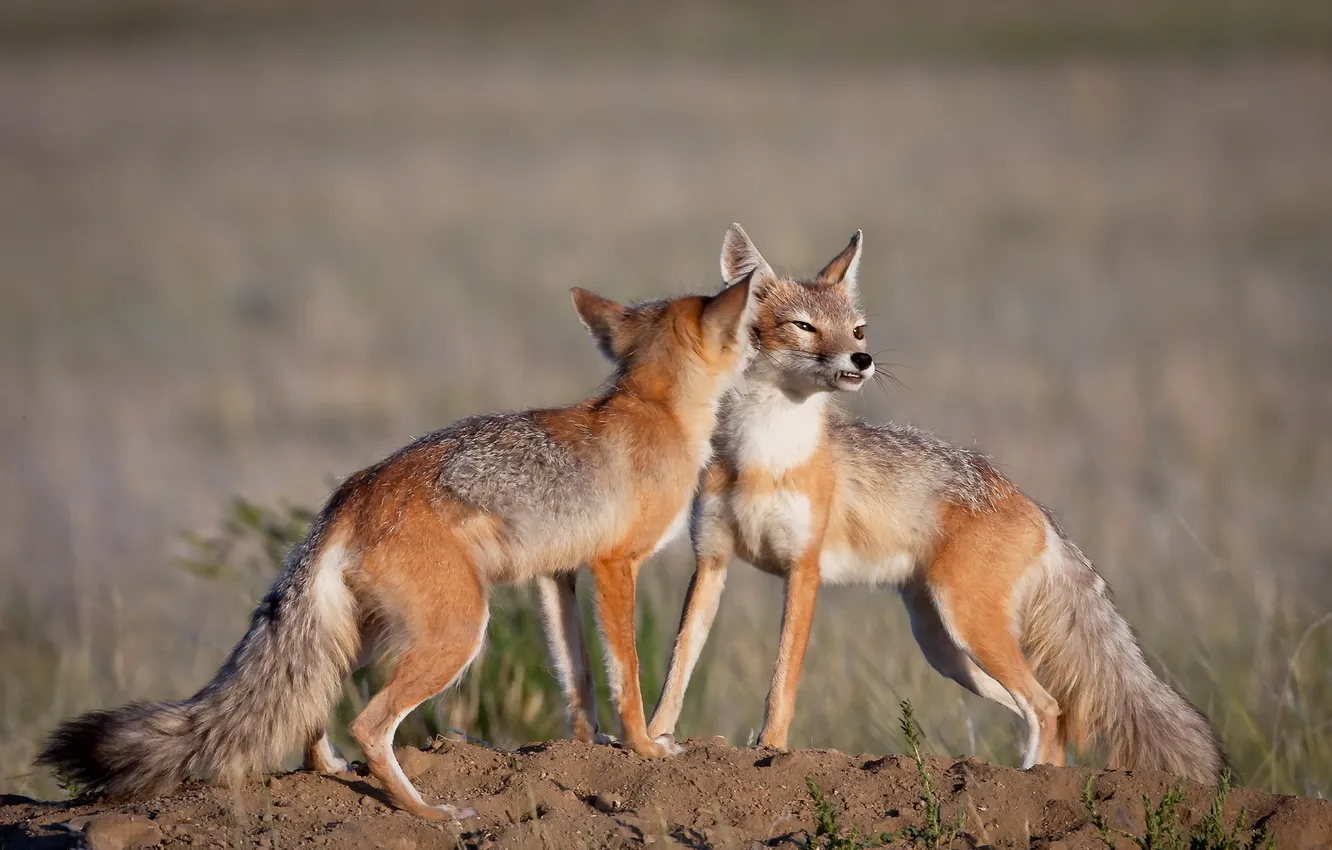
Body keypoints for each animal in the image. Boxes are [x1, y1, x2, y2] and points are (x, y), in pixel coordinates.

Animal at [38, 275, 757, 820]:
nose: (758, 344)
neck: (654, 407)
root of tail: (354, 491)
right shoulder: (615, 567)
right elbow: (626, 674)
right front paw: (644, 745)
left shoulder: (558, 575)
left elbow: (574, 675)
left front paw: (585, 745)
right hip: (457, 634)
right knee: (370, 723)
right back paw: (427, 813)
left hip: (361, 640)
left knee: (311, 711)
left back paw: (330, 769)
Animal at [644, 224, 1226, 783]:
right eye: (804, 327)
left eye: (858, 330)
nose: (863, 359)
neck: (762, 456)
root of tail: (1034, 506)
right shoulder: (712, 560)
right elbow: (676, 666)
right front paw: (652, 738)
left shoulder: (803, 571)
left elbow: (782, 676)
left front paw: (771, 747)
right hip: (947, 648)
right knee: (1050, 712)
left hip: (968, 626)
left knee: (1048, 706)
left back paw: (1027, 780)